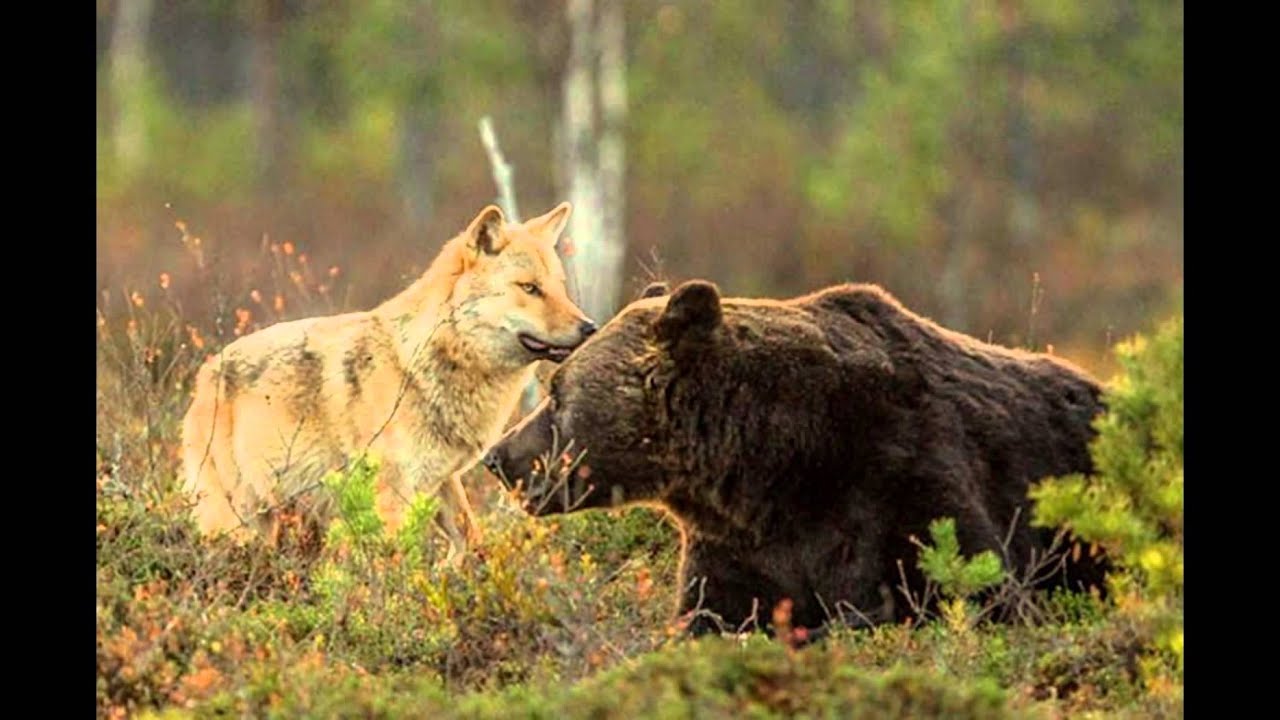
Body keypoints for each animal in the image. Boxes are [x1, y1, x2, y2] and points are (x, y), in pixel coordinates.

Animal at [180, 202, 593, 561]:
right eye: (529, 288)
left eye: (559, 286)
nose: (589, 327)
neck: (417, 365)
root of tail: (204, 374)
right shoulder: (392, 496)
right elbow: (398, 564)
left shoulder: (442, 480)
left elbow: (471, 538)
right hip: (235, 521)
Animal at [483, 278, 1105, 630]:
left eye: (558, 392)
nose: (498, 457)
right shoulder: (742, 547)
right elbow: (714, 617)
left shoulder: (903, 476)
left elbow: (976, 592)